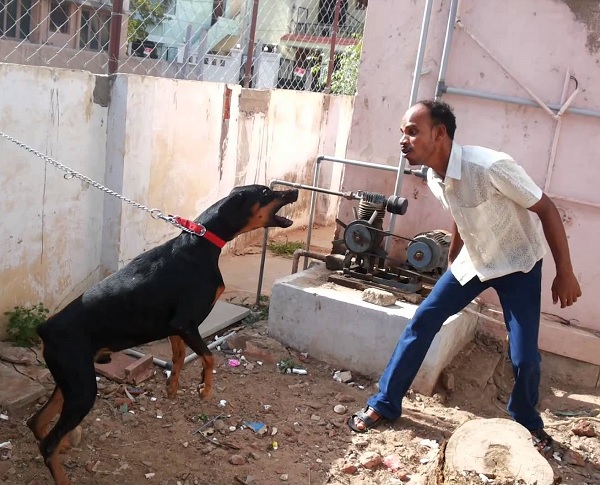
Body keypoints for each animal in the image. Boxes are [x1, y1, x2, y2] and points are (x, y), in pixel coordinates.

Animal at [28, 183, 300, 482]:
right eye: (265, 192)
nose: (295, 192)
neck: (201, 243)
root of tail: (46, 328)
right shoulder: (186, 322)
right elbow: (209, 357)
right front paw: (205, 389)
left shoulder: (174, 326)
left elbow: (179, 355)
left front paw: (172, 386)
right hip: (82, 388)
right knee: (47, 443)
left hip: (71, 380)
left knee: (36, 422)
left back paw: (63, 445)